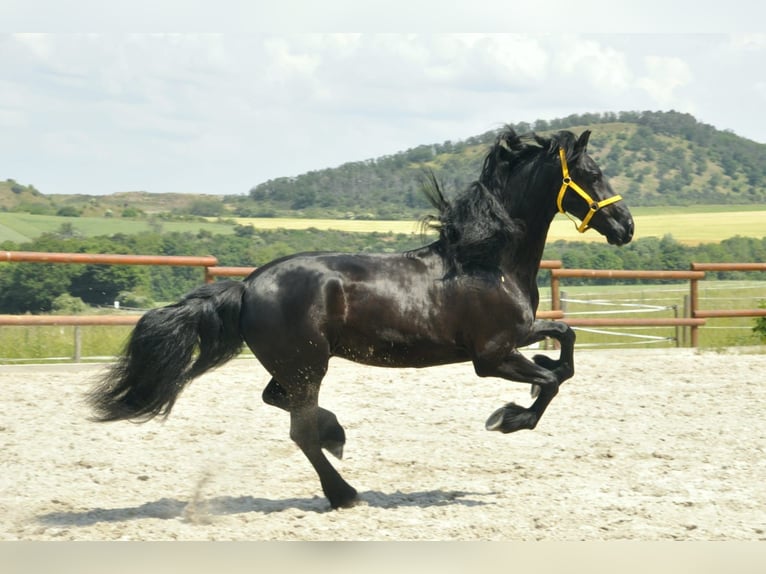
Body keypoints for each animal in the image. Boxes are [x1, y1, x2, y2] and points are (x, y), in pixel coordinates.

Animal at [88, 129, 636, 508]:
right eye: (591, 174)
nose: (626, 227)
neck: (486, 261)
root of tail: (246, 285)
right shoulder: (492, 356)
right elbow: (552, 380)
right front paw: (507, 418)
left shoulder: (519, 336)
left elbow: (564, 345)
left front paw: (532, 384)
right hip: (308, 365)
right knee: (300, 429)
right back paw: (344, 492)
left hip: (296, 366)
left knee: (282, 403)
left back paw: (337, 435)